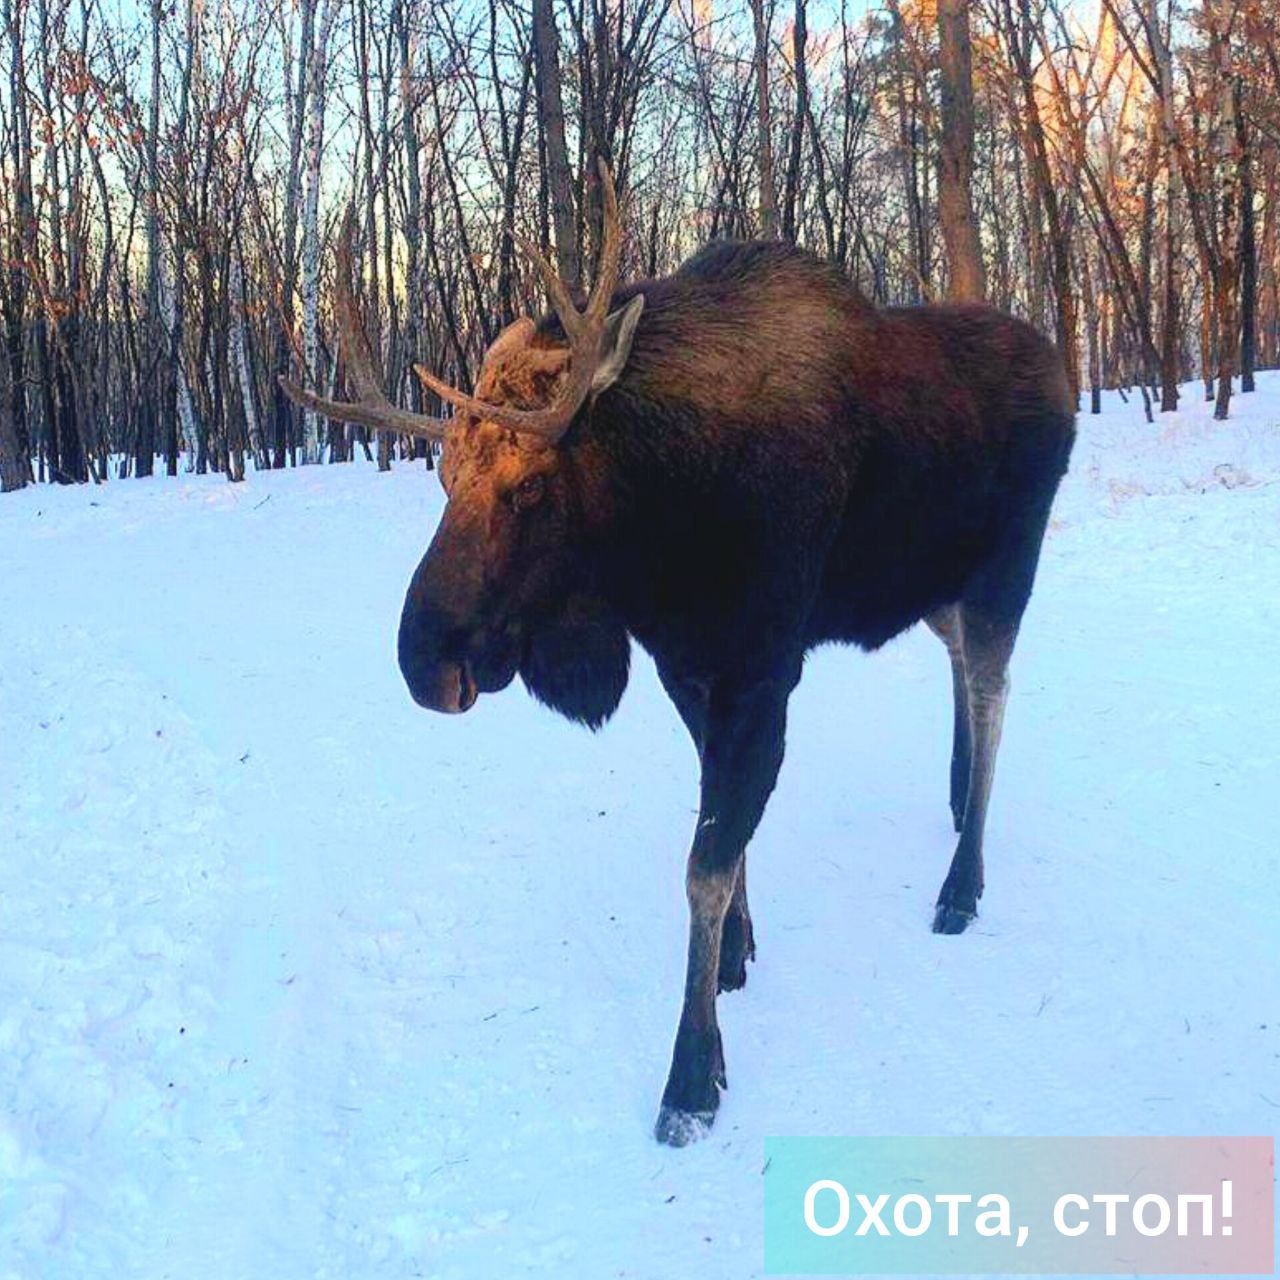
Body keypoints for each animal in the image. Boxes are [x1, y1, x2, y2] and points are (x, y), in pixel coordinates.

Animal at [285, 165, 1075, 1146]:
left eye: (532, 485)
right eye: (443, 476)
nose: (424, 663)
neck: (660, 530)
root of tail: (1066, 371)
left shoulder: (761, 670)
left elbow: (705, 865)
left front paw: (692, 1074)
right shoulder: (685, 668)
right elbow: (725, 840)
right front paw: (737, 956)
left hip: (1008, 563)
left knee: (996, 690)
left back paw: (963, 883)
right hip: (933, 587)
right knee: (963, 669)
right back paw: (959, 799)